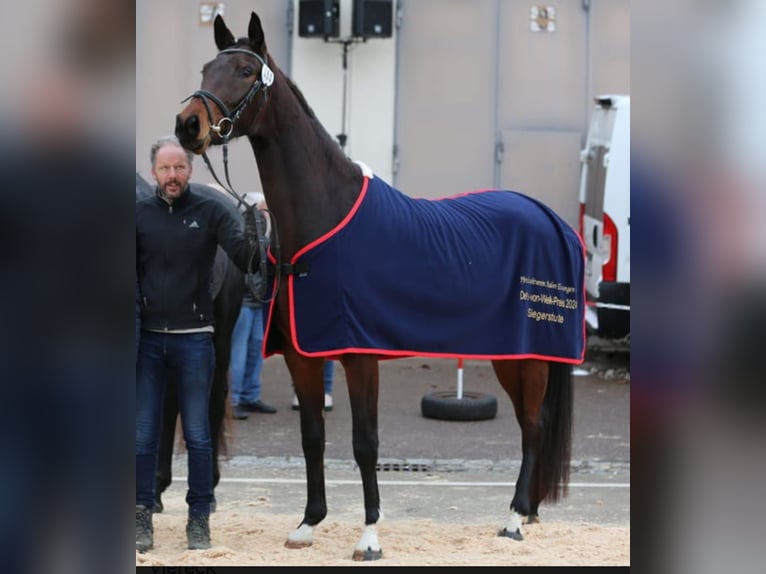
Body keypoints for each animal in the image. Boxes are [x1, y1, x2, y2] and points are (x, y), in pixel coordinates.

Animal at [175, 12, 585, 560]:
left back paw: (516, 518)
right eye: (205, 67)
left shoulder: (360, 356)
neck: (323, 217)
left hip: (532, 355)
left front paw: (369, 536)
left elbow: (365, 443)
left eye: (243, 70)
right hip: (511, 355)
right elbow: (312, 437)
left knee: (534, 425)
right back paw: (530, 511)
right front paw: (308, 523)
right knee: (527, 424)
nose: (188, 125)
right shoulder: (304, 356)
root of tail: (550, 218)